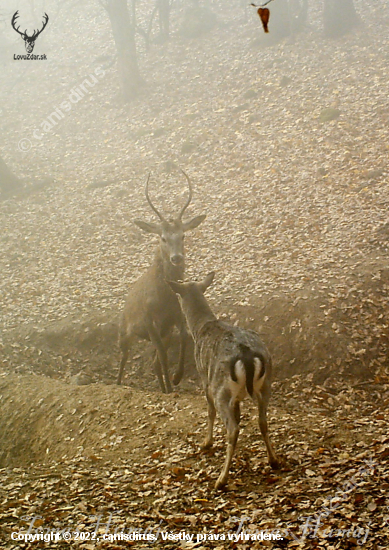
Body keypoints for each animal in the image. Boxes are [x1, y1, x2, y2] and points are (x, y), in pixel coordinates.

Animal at [116, 171, 205, 392]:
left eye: (183, 235)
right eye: (162, 238)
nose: (176, 258)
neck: (163, 298)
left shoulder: (175, 319)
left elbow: (183, 338)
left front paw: (176, 377)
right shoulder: (149, 321)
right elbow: (164, 356)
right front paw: (172, 387)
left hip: (162, 333)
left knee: (153, 362)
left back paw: (163, 387)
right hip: (125, 330)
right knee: (124, 355)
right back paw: (118, 383)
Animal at [168, 274, 278, 492]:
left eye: (177, 296)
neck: (200, 329)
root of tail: (247, 355)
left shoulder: (204, 377)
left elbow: (209, 411)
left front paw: (206, 442)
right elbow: (239, 414)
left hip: (221, 388)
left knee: (232, 428)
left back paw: (221, 479)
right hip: (266, 383)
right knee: (262, 421)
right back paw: (274, 460)